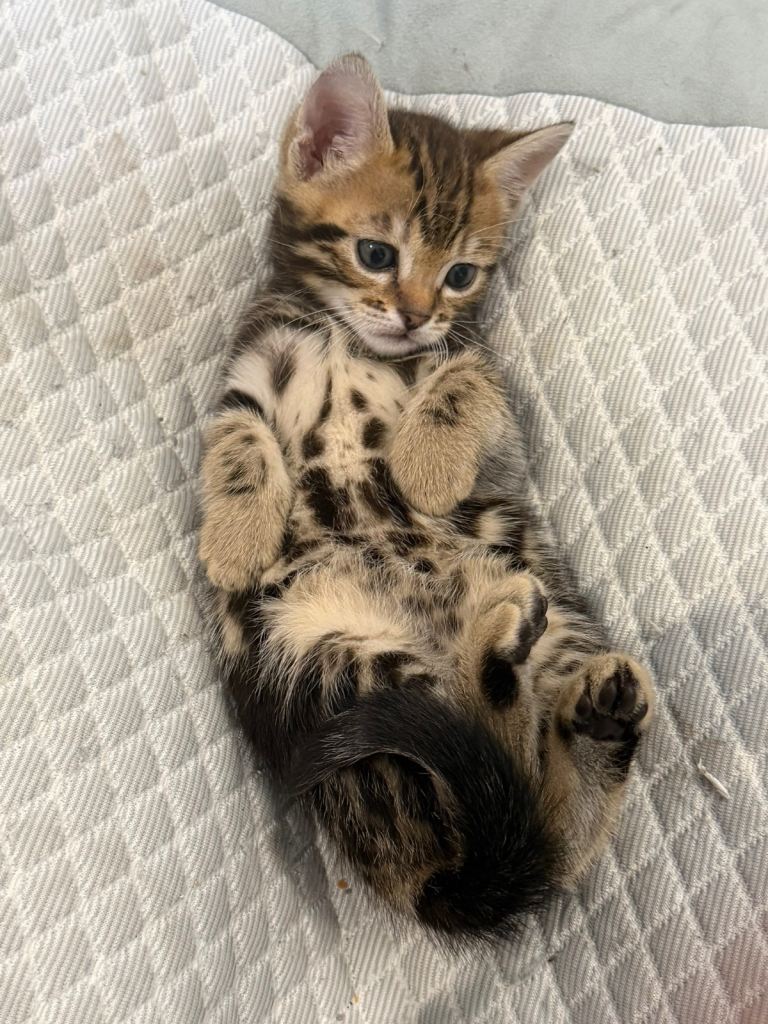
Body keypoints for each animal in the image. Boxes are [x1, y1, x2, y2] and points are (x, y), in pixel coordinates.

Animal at [199, 54, 655, 941]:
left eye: (460, 276)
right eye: (376, 252)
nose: (414, 318)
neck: (347, 338)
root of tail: (413, 871)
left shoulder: (499, 431)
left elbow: (469, 376)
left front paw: (429, 464)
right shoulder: (247, 372)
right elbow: (236, 436)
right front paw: (234, 540)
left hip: (552, 617)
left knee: (539, 808)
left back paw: (575, 711)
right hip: (329, 662)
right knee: (495, 746)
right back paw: (510, 663)